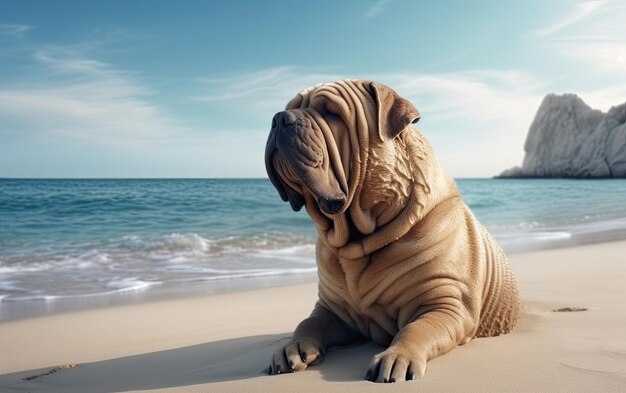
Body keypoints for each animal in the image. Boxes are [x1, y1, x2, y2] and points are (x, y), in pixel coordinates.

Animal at [262, 79, 516, 382]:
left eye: (331, 112)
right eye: (289, 108)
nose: (279, 118)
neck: (359, 240)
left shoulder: (447, 305)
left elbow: (416, 328)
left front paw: (397, 356)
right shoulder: (331, 310)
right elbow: (307, 323)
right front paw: (293, 347)